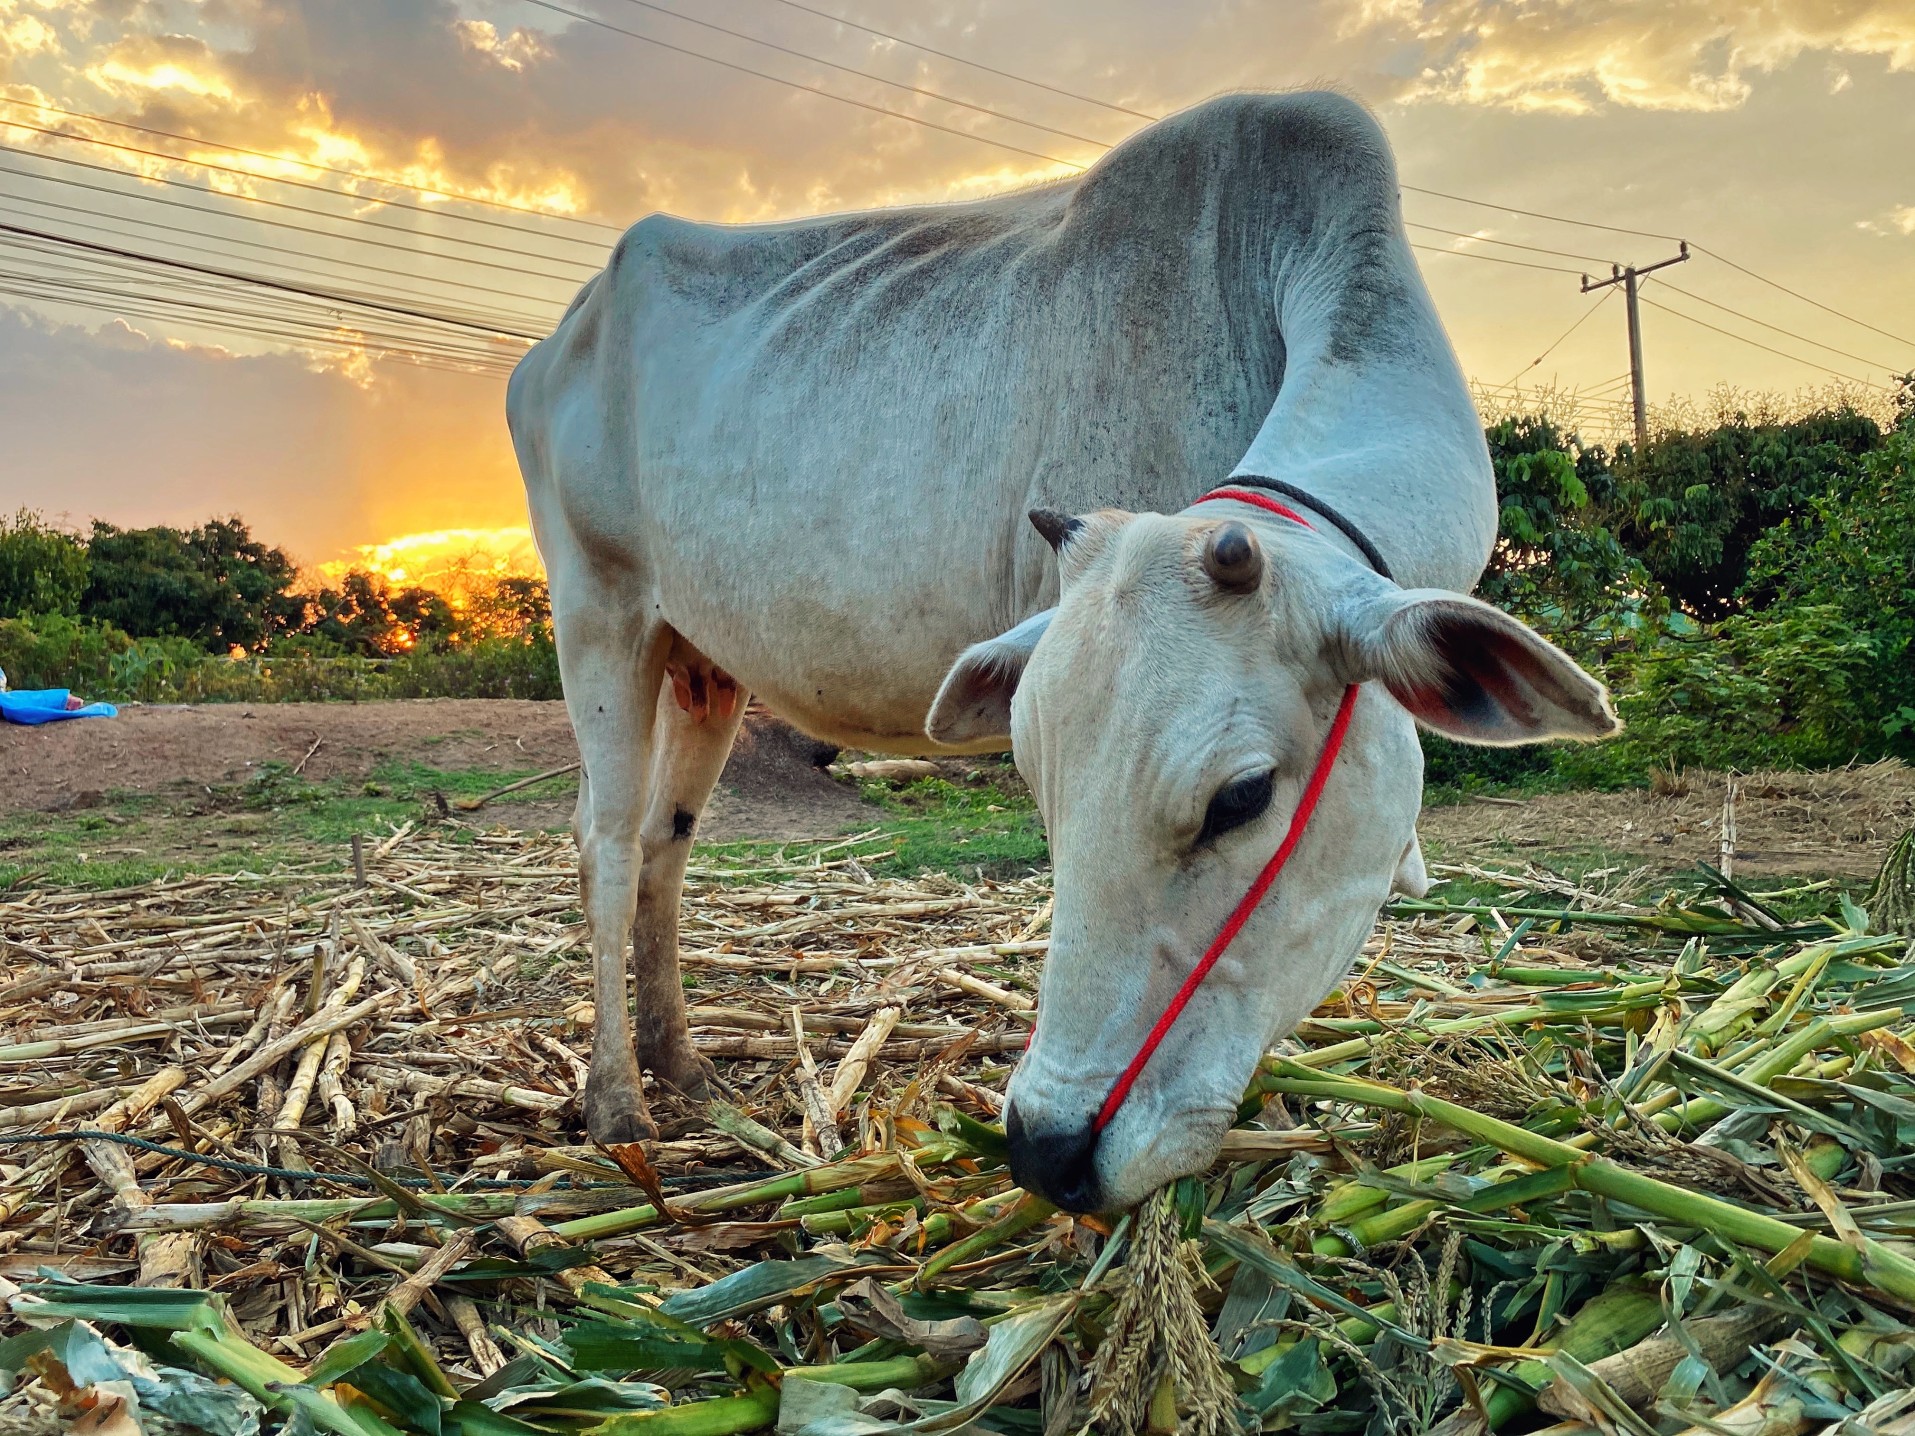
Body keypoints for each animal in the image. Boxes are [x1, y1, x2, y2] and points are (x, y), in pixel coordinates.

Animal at [509, 92, 1616, 1217]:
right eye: (1039, 783)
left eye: (1241, 797)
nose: (1047, 1151)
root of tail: (561, 334)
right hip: (600, 613)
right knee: (605, 840)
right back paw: (617, 1102)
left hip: (705, 666)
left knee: (666, 838)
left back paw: (681, 1063)